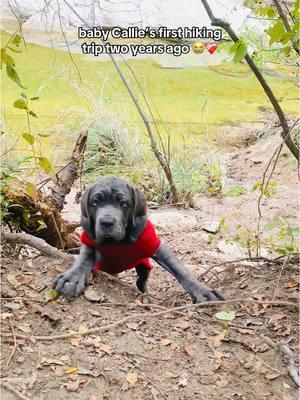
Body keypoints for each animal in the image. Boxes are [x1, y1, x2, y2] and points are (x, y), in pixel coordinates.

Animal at [53, 177, 223, 302]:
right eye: (94, 203)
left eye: (123, 203)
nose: (106, 222)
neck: (118, 242)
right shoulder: (90, 244)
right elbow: (83, 260)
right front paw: (71, 279)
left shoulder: (154, 245)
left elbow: (179, 268)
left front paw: (202, 292)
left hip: (143, 267)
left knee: (142, 280)